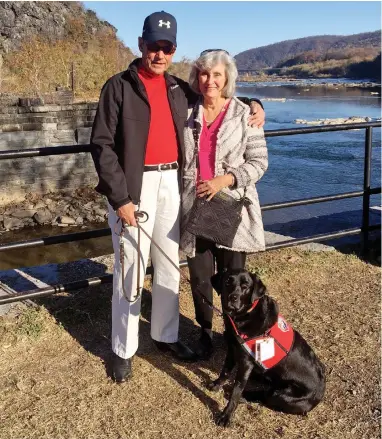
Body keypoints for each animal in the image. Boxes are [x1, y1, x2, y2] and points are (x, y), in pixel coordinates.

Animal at [209, 270, 326, 428]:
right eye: (227, 281)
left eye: (245, 286)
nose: (232, 297)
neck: (243, 317)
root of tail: (322, 390)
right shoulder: (232, 350)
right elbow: (225, 371)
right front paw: (216, 384)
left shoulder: (246, 363)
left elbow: (236, 391)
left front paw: (226, 415)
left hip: (282, 394)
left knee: (265, 396)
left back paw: (245, 395)